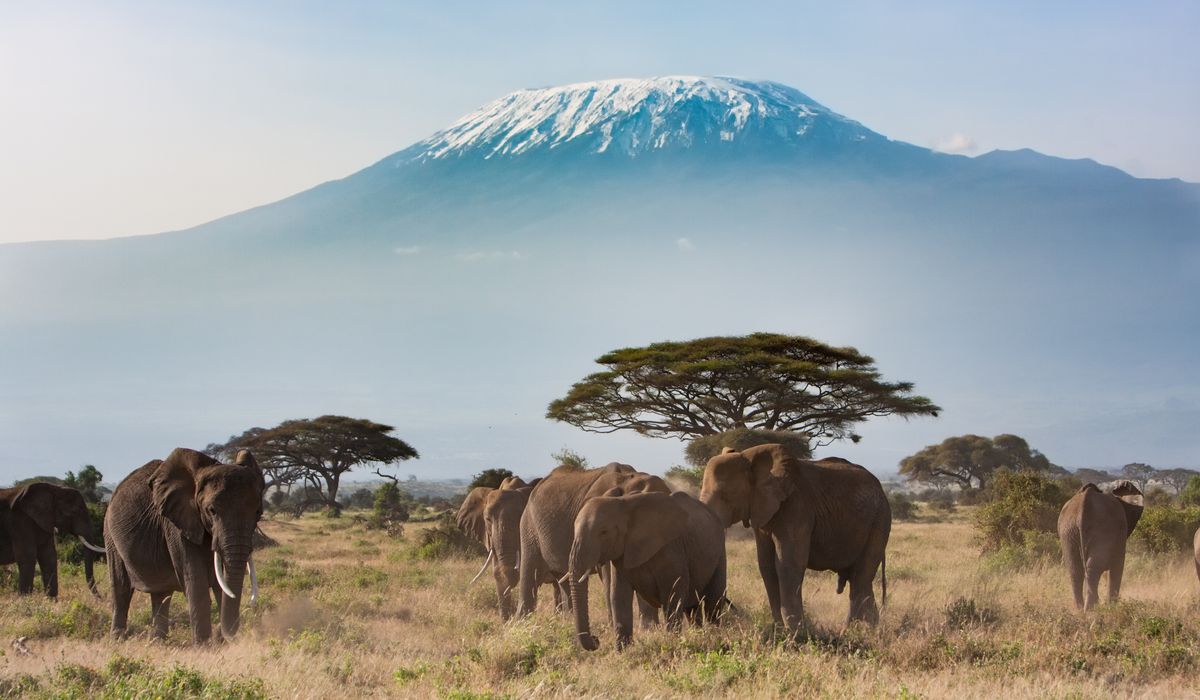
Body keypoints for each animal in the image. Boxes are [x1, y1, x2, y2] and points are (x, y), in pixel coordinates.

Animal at [105, 449, 265, 638]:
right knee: (121, 587)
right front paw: (204, 644)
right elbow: (195, 579)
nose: (221, 634)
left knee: (161, 594)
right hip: (110, 534)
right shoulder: (177, 524)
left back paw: (158, 641)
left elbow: (220, 582)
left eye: (258, 512)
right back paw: (118, 638)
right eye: (212, 510)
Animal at [566, 487, 724, 653]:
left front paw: (673, 643)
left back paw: (715, 635)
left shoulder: (671, 548)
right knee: (692, 608)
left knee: (713, 602)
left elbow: (673, 594)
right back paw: (700, 635)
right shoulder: (621, 553)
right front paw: (623, 652)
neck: (623, 505)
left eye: (604, 532)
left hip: (719, 550)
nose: (596, 639)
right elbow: (618, 595)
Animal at [700, 446, 888, 633]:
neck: (749, 456)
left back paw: (861, 631)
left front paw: (796, 632)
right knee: (857, 579)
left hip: (879, 521)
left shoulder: (796, 507)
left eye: (726, 495)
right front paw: (780, 630)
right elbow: (766, 566)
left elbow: (788, 564)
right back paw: (862, 628)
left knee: (861, 577)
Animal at [1060, 480, 1142, 609]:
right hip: (1101, 529)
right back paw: (1091, 607)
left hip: (1068, 531)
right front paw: (1111, 607)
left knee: (1075, 569)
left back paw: (1080, 609)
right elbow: (1118, 566)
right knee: (1092, 567)